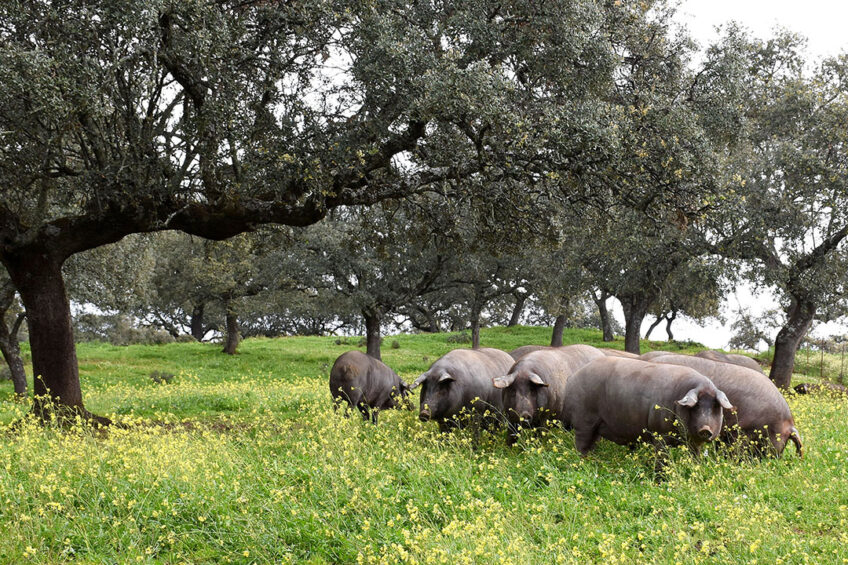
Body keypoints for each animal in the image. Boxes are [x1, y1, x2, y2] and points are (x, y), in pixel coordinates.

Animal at [564, 360, 736, 456]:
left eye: (715, 407)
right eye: (696, 406)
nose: (706, 429)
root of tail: (572, 378)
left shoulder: (694, 444)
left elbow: (695, 457)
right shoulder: (659, 434)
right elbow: (662, 460)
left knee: (592, 441)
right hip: (583, 419)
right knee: (581, 442)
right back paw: (582, 461)